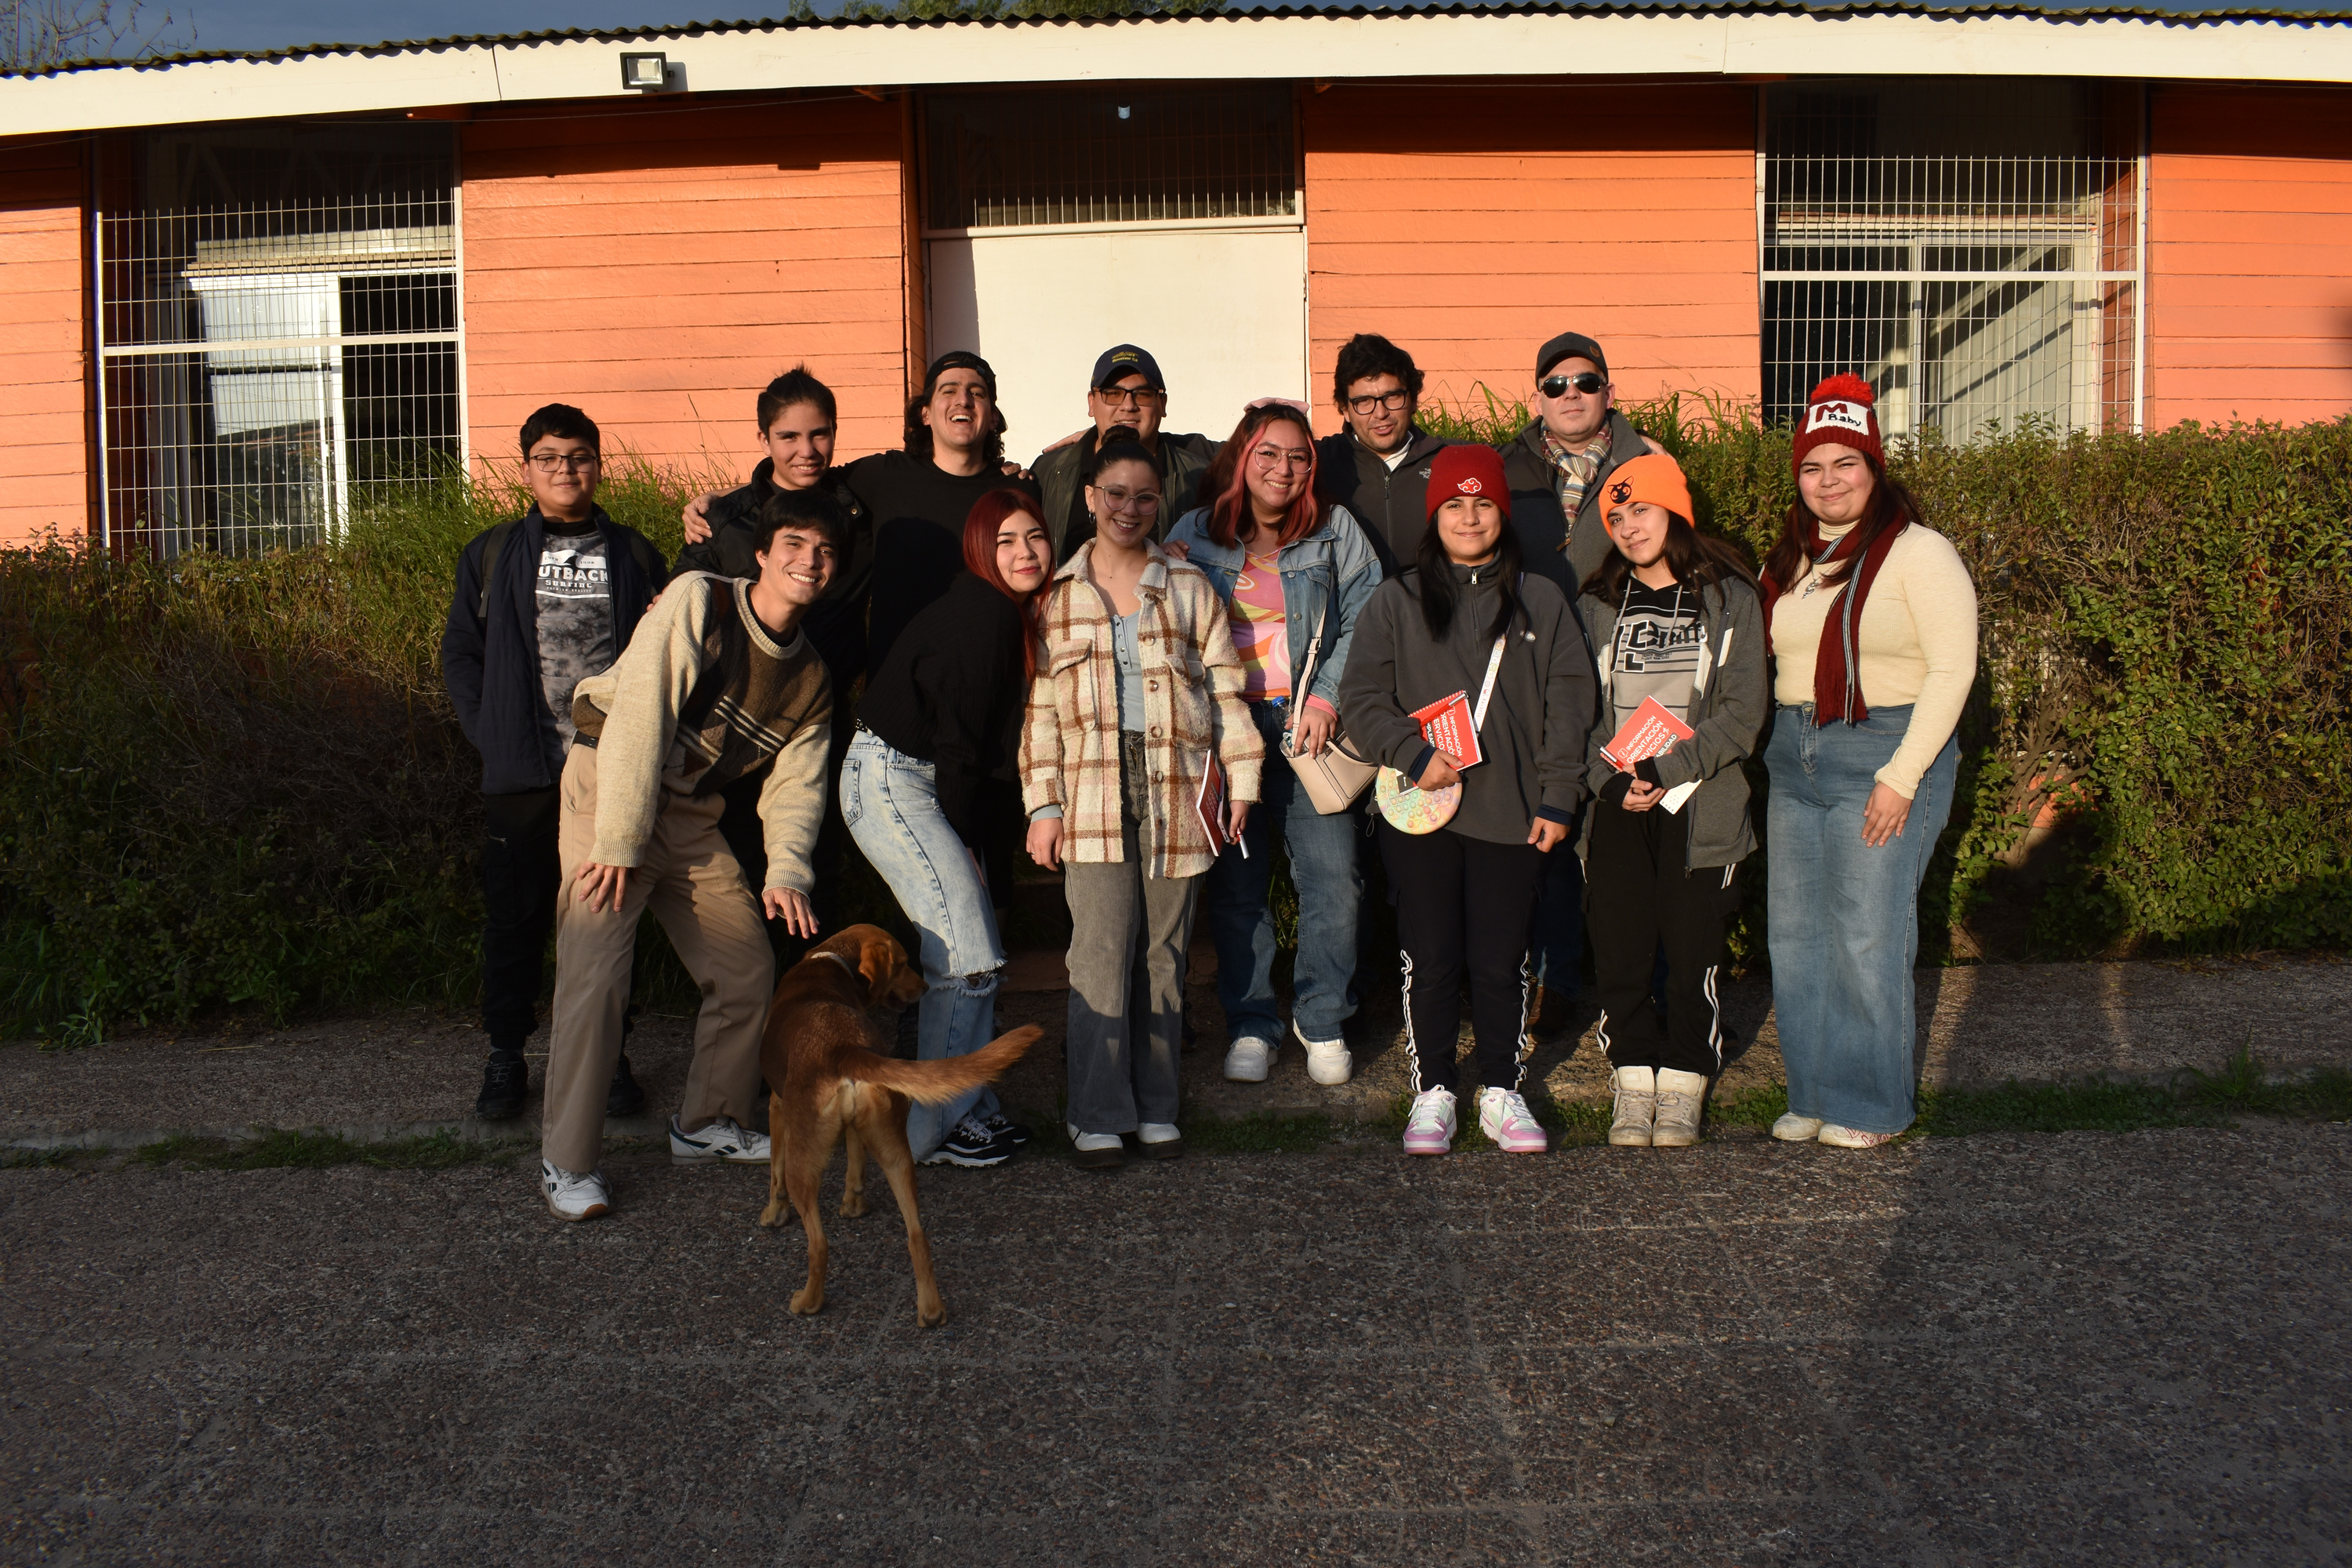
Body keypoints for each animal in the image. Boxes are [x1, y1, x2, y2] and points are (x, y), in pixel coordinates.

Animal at [755, 924, 1041, 1328]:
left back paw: (808, 1302)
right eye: (904, 963)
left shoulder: (777, 1108)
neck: (833, 966)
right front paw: (854, 1206)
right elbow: (856, 1167)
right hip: (897, 1155)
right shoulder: (858, 1131)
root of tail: (844, 1048)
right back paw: (931, 1311)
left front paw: (773, 1215)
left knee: (819, 1243)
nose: (923, 988)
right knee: (917, 1235)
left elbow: (774, 1174)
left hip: (805, 1163)